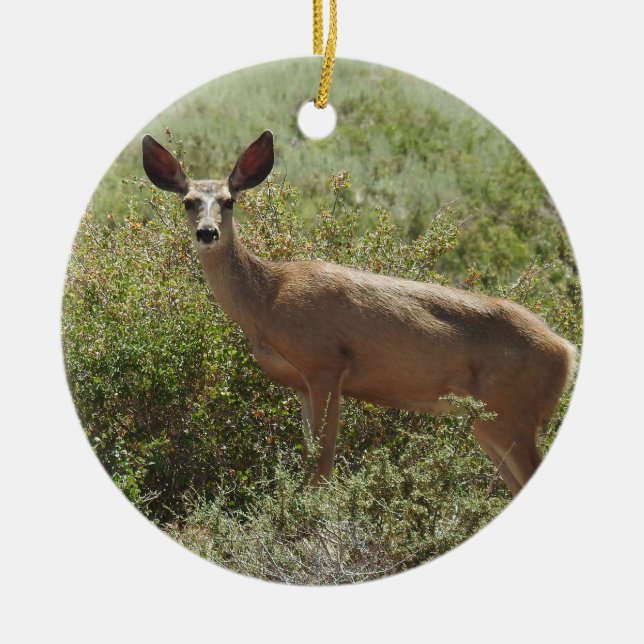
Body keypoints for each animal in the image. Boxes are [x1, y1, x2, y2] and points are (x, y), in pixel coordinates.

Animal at [142, 130, 577, 496]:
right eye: (188, 202)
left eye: (229, 201)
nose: (207, 233)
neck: (267, 301)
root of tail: (566, 350)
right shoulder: (301, 382)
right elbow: (311, 459)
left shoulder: (326, 363)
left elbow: (322, 465)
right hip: (487, 421)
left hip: (512, 411)